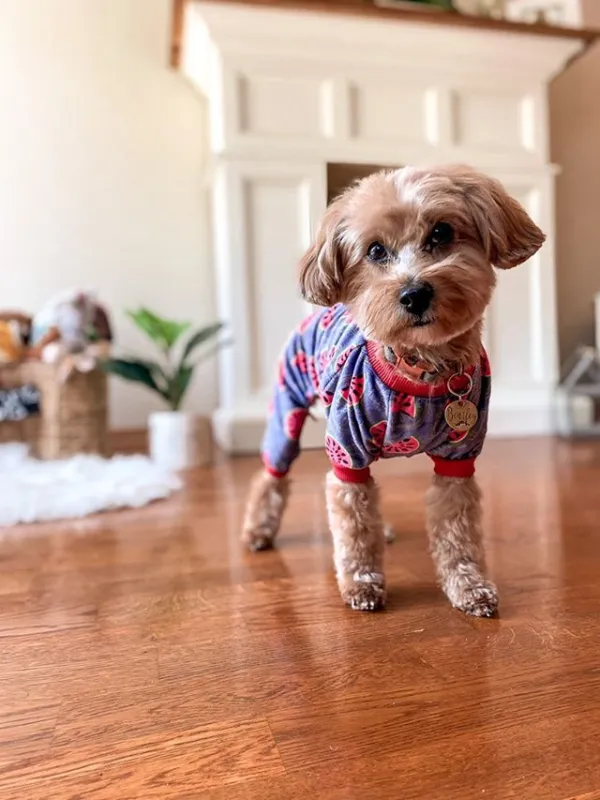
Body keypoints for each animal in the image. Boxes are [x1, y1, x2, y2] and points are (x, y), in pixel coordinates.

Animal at [239, 166, 544, 616]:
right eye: (375, 251)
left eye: (441, 232)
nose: (414, 294)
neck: (421, 368)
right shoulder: (346, 450)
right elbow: (352, 522)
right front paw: (361, 582)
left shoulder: (459, 458)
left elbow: (458, 531)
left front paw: (469, 586)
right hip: (288, 409)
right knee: (271, 475)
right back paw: (258, 530)